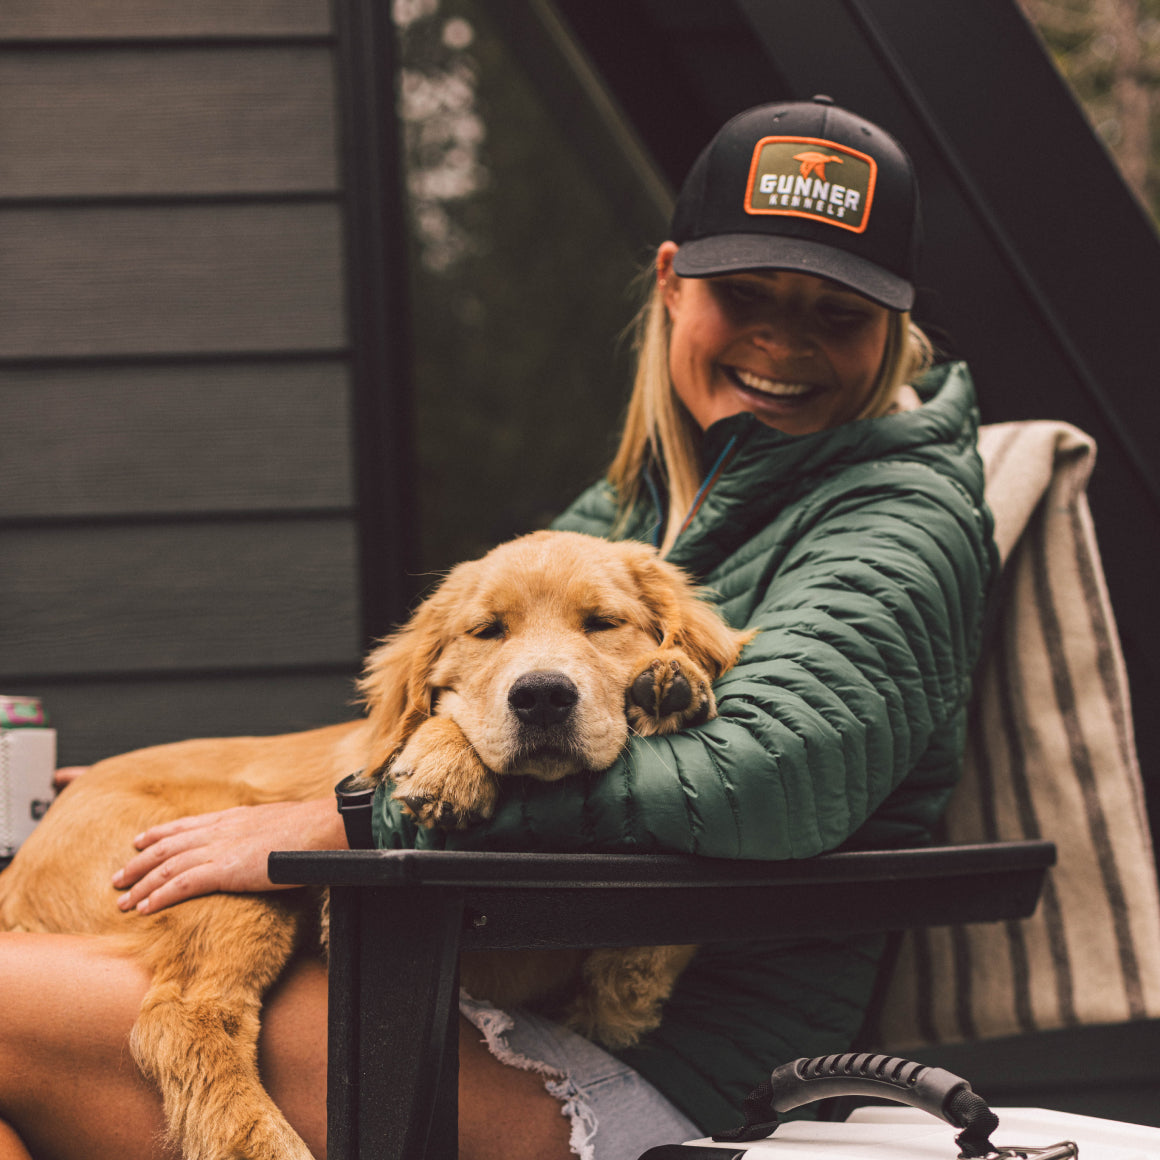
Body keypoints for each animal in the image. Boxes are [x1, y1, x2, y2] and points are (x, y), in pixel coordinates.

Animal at [0, 531, 751, 1155]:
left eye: (602, 624)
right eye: (488, 632)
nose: (540, 697)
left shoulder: (601, 1010)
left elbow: (643, 966)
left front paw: (669, 682)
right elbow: (442, 716)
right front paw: (445, 757)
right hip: (235, 871)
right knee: (182, 1018)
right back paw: (261, 1143)